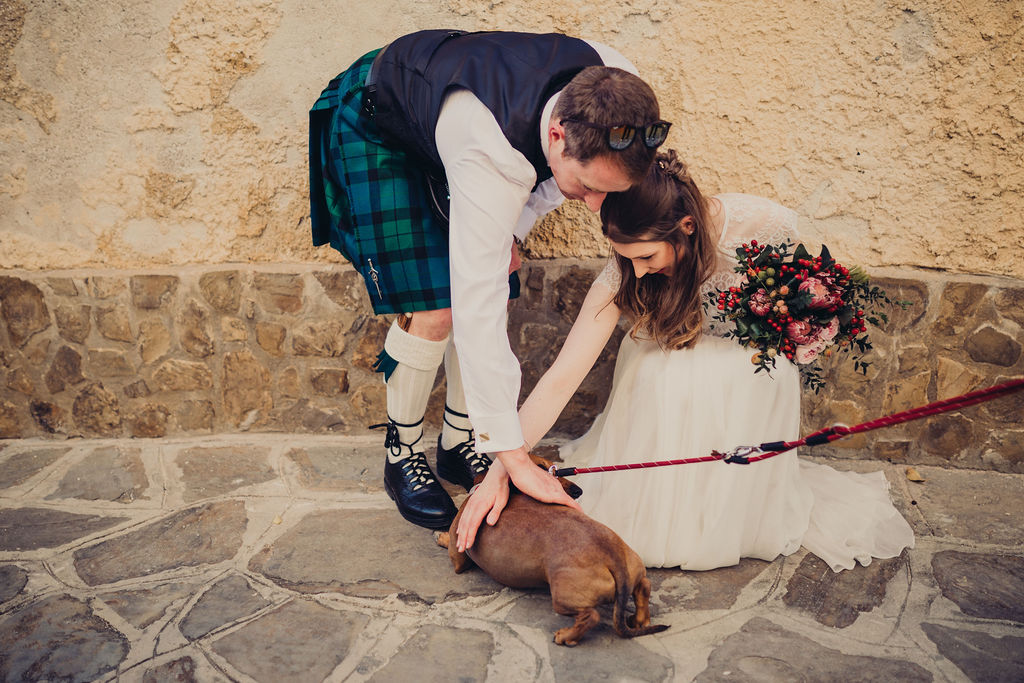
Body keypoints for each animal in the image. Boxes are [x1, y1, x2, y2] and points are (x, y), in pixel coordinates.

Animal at [434, 456, 667, 651]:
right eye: (546, 469)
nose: (577, 491)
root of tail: (613, 556)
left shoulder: (458, 555)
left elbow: (454, 553)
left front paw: (441, 536)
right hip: (632, 565)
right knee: (644, 587)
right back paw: (639, 620)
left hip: (563, 597)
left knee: (591, 616)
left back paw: (566, 636)